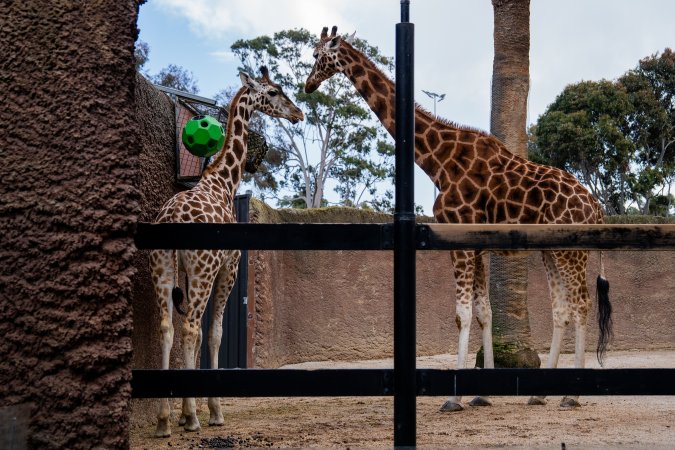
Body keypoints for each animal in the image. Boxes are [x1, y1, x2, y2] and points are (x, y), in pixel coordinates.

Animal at [149, 67, 303, 437]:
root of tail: (172, 218)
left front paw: (182, 414)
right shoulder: (229, 267)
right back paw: (192, 417)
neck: (224, 181)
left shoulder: (188, 273)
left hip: (163, 266)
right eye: (274, 91)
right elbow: (215, 333)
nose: (298, 113)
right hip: (204, 269)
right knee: (191, 328)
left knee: (168, 326)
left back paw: (163, 421)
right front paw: (212, 411)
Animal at [305, 26, 612, 411]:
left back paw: (572, 394)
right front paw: (481, 393)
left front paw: (454, 397)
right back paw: (540, 393)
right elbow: (483, 312)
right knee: (562, 308)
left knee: (582, 304)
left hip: (573, 251)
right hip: (551, 251)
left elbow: (462, 314)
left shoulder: (460, 235)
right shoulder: (476, 243)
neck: (437, 161)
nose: (308, 85)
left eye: (317, 56)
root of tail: (596, 208)